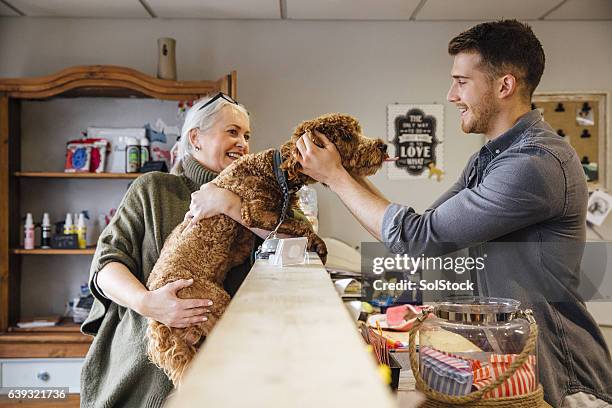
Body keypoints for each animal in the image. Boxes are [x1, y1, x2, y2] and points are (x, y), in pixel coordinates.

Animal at [146, 113, 390, 384]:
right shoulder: (255, 211)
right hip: (212, 302)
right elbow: (299, 225)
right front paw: (319, 245)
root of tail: (158, 324)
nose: (383, 146)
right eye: (347, 136)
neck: (275, 170)